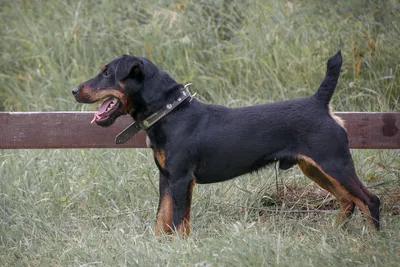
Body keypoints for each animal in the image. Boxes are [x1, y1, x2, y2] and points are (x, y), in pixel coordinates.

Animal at [72, 51, 382, 237]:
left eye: (107, 73)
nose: (74, 90)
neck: (170, 112)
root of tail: (320, 103)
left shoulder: (182, 179)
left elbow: (179, 220)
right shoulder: (167, 179)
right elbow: (162, 218)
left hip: (335, 163)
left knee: (369, 200)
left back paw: (373, 242)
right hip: (315, 168)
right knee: (348, 201)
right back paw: (334, 234)